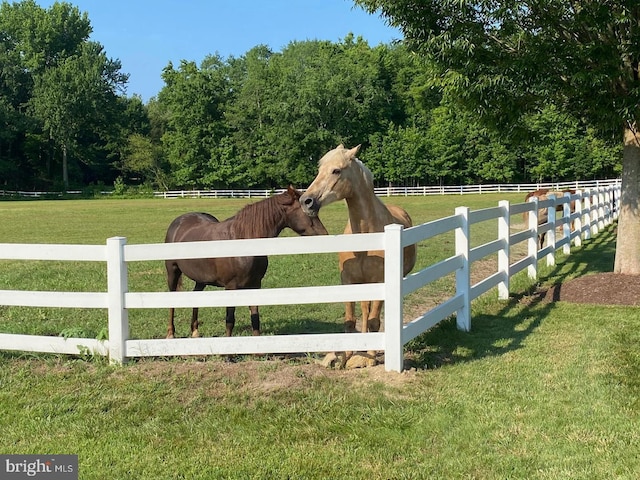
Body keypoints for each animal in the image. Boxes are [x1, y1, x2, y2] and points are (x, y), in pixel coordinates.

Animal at [162, 186, 328, 340]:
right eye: (308, 210)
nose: (325, 234)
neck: (243, 240)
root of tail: (178, 221)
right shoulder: (231, 287)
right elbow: (230, 320)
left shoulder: (255, 285)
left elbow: (255, 317)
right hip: (173, 272)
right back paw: (170, 333)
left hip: (201, 279)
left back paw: (195, 331)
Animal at [298, 142, 416, 368]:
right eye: (319, 169)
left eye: (336, 170)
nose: (306, 201)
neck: (365, 238)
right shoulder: (349, 282)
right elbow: (351, 321)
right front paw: (346, 357)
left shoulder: (379, 280)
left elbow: (374, 321)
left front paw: (370, 359)